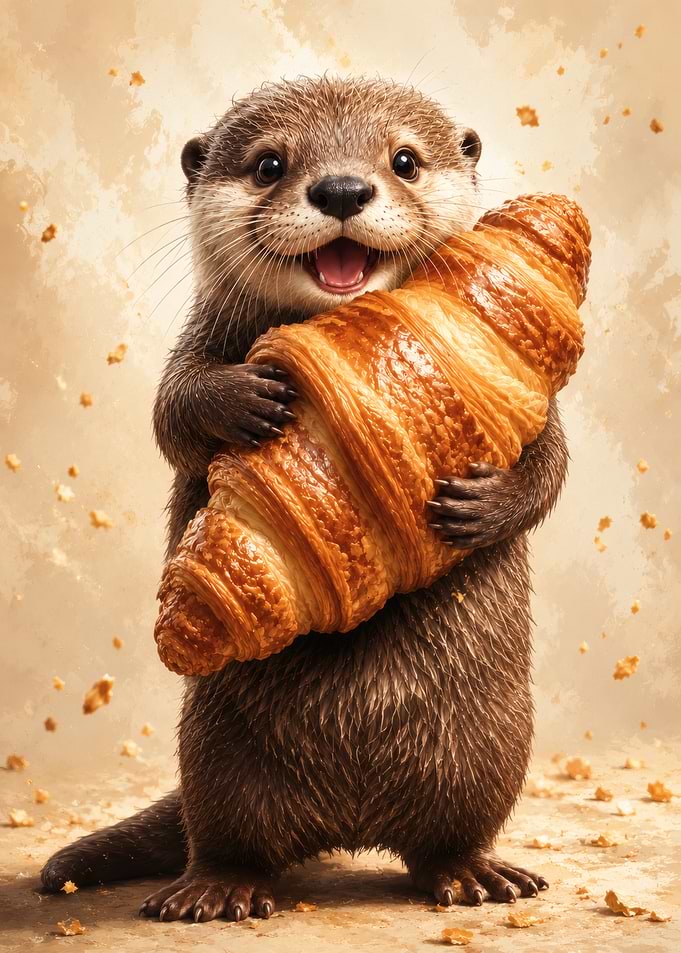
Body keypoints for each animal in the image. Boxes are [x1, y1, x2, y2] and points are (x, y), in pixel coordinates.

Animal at [41, 74, 567, 923]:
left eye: (403, 159)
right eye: (269, 163)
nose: (343, 188)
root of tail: (350, 817)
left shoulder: (529, 391)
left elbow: (551, 462)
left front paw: (485, 506)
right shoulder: (197, 341)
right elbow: (171, 410)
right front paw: (245, 394)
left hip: (488, 747)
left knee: (448, 833)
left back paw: (474, 873)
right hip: (214, 748)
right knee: (229, 835)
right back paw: (213, 887)